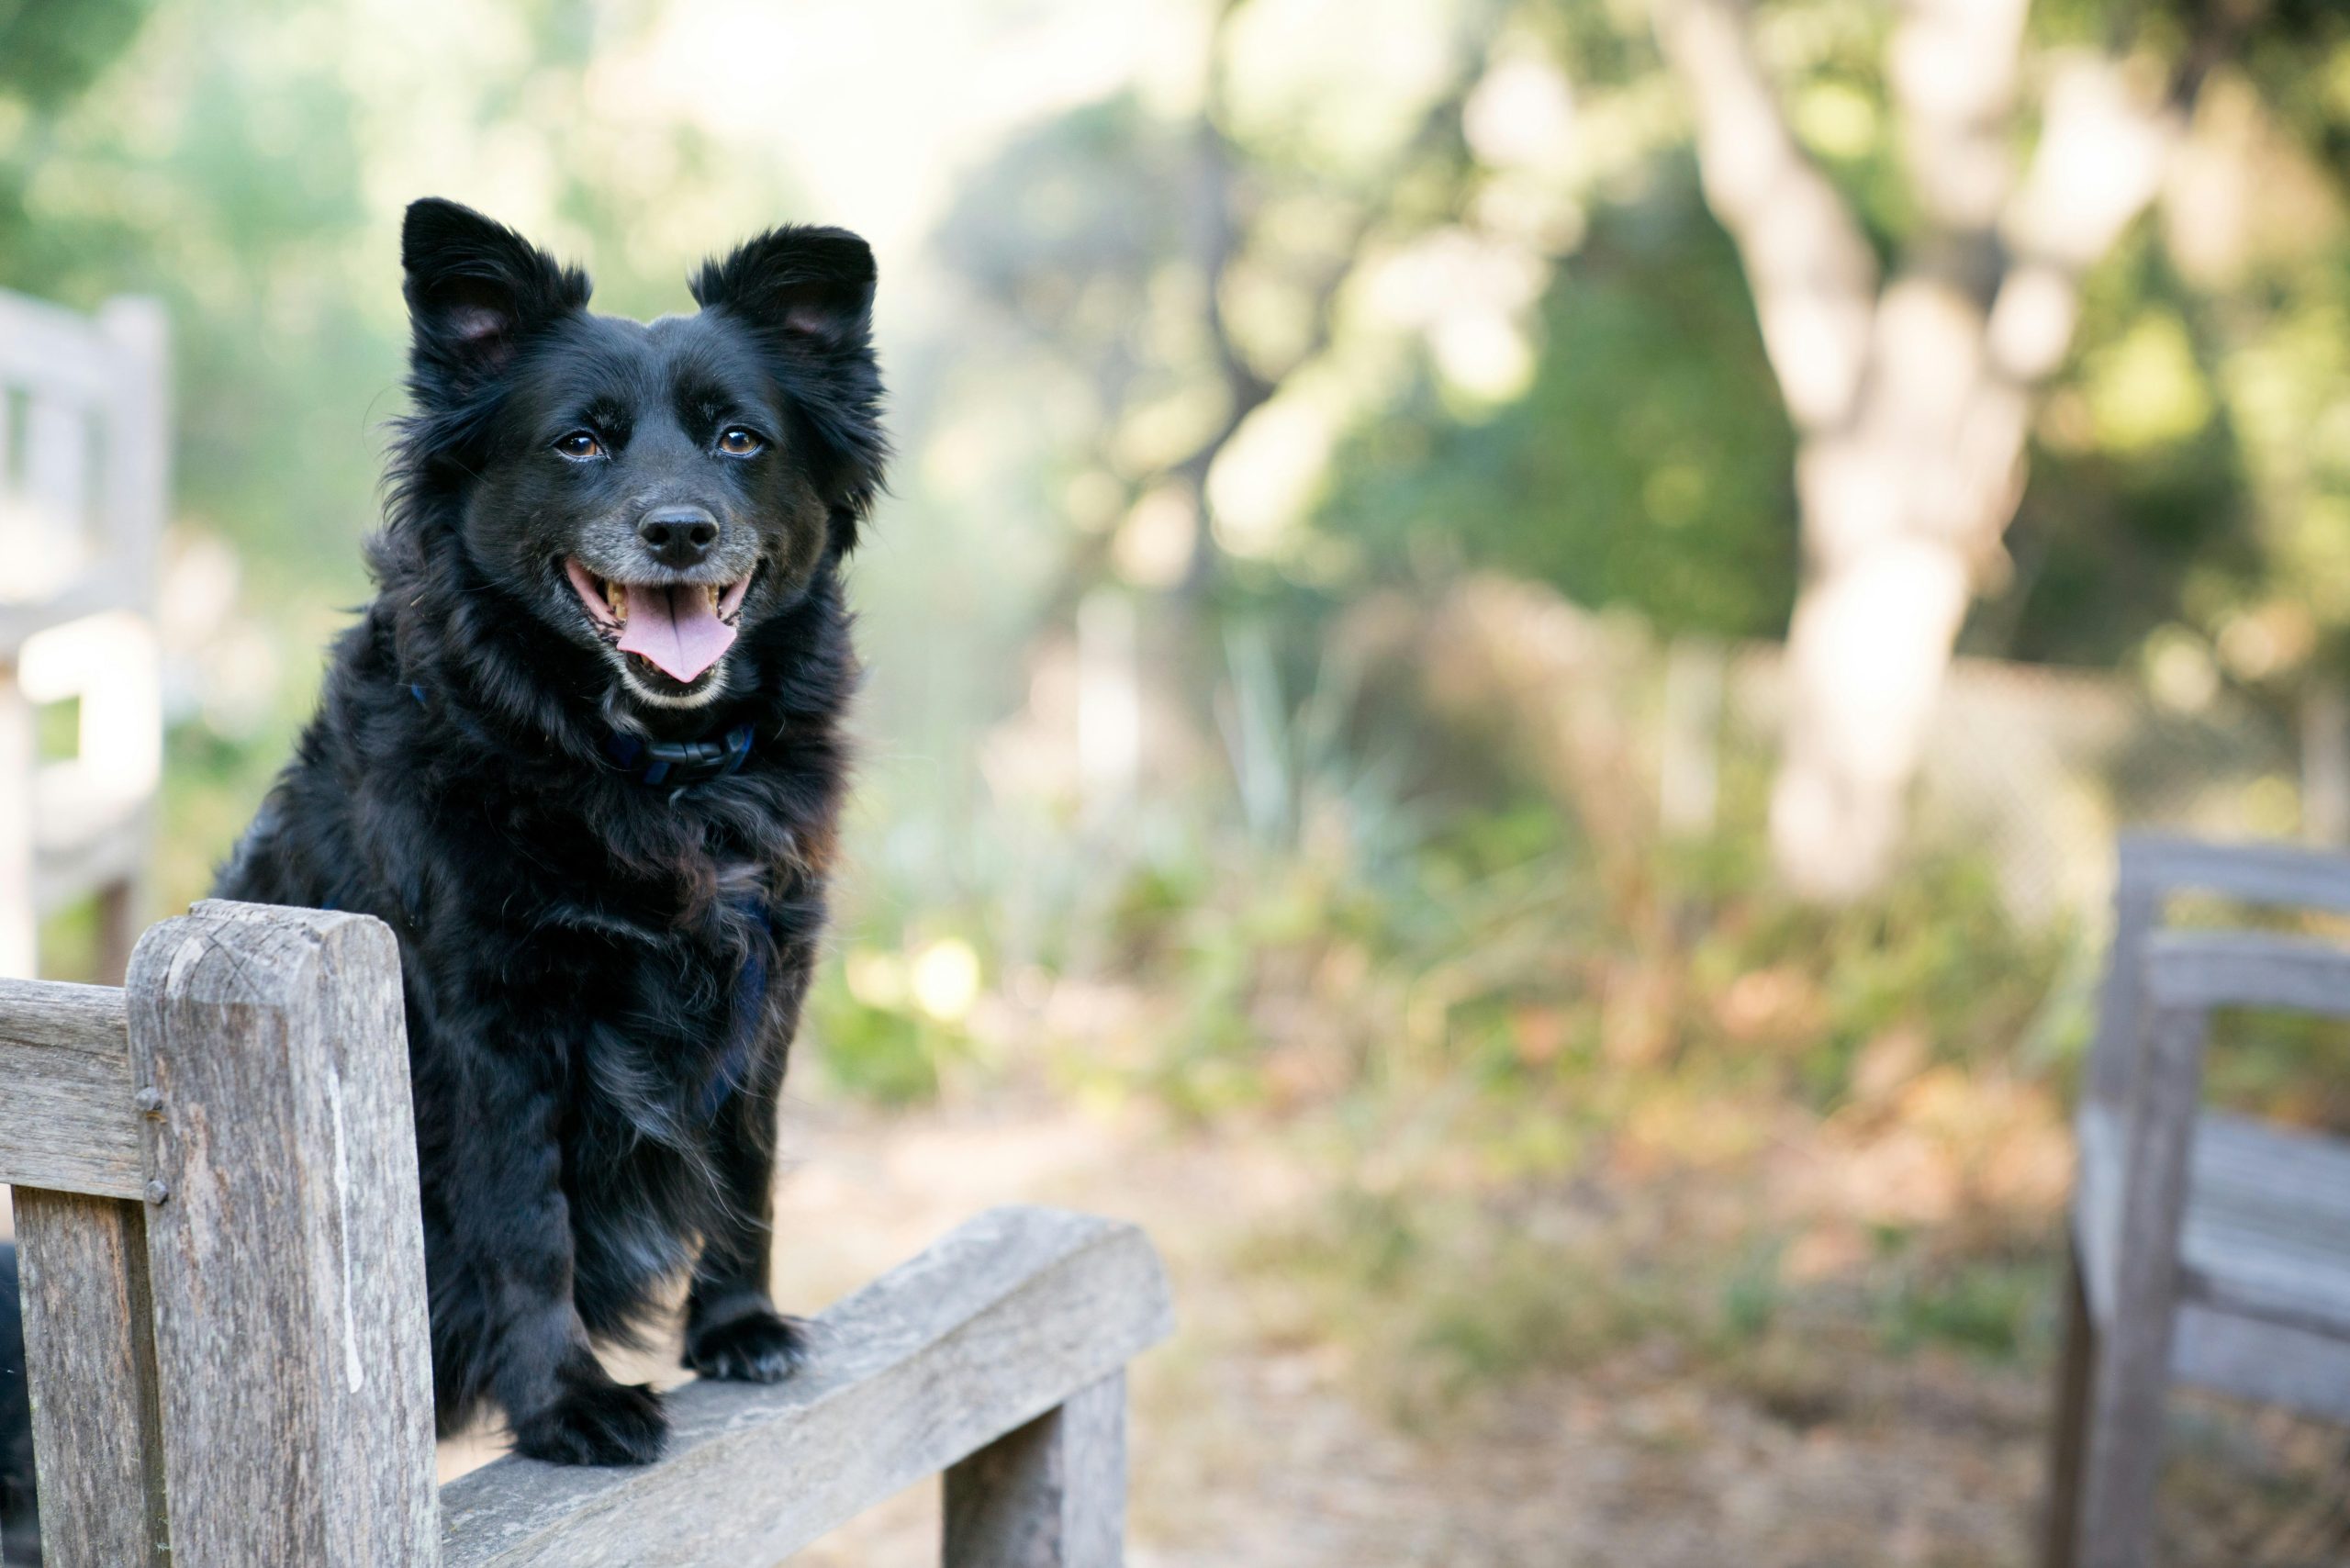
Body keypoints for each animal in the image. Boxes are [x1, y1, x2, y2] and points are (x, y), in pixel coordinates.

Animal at [202, 199, 883, 1476]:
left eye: (740, 439)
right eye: (579, 444)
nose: (680, 531)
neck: (647, 774)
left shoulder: (769, 983)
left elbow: (750, 1163)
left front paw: (737, 1324)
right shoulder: (493, 1018)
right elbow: (529, 1224)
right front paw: (568, 1400)